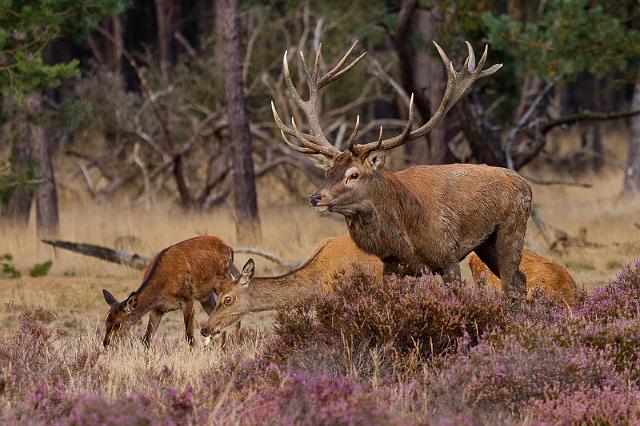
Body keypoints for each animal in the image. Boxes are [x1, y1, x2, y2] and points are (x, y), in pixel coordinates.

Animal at [101, 235, 236, 348]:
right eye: (106, 322)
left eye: (118, 323)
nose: (106, 342)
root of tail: (230, 248)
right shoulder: (158, 309)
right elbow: (146, 339)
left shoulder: (187, 298)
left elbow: (189, 337)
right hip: (206, 296)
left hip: (224, 280)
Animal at [272, 41, 532, 298]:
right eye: (328, 172)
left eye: (353, 174)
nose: (315, 197)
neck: (406, 238)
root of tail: (525, 184)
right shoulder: (391, 265)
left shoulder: (448, 255)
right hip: (485, 244)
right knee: (521, 278)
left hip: (512, 228)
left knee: (511, 283)